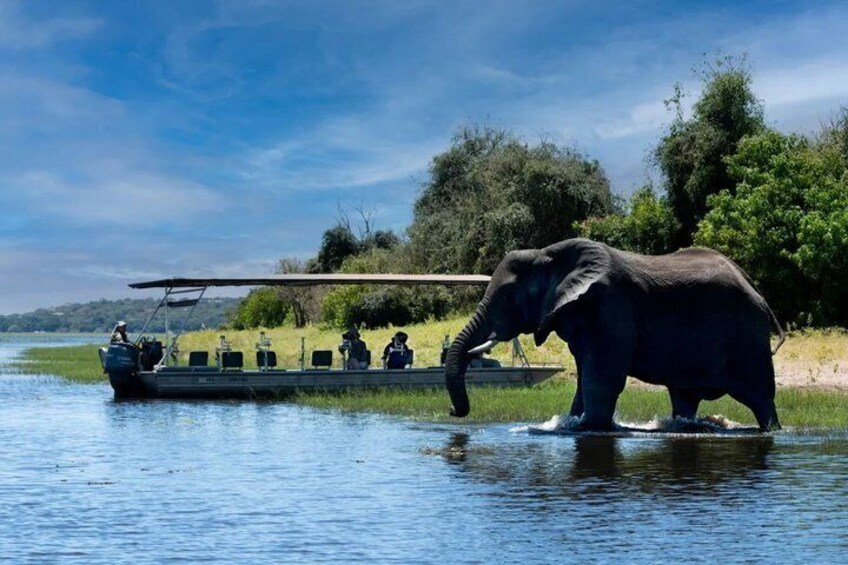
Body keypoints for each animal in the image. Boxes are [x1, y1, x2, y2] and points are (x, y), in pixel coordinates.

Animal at [444, 238, 784, 431]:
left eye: (506, 296)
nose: (451, 411)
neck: (548, 254)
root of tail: (758, 291)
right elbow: (584, 376)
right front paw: (573, 423)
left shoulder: (609, 308)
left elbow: (601, 377)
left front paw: (589, 428)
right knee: (684, 396)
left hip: (747, 336)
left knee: (760, 397)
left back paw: (772, 430)